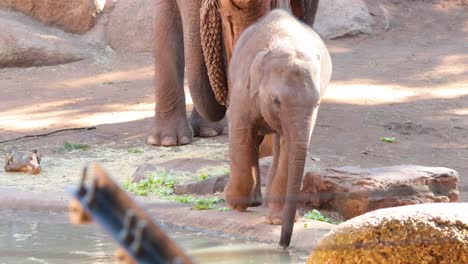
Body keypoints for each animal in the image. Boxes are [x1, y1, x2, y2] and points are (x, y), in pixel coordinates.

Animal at [225, 8, 330, 248]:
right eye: (276, 101)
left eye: (317, 104)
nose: (283, 243)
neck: (286, 42)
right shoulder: (243, 90)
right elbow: (240, 133)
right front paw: (234, 203)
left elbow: (290, 147)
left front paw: (276, 221)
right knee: (253, 140)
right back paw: (253, 201)